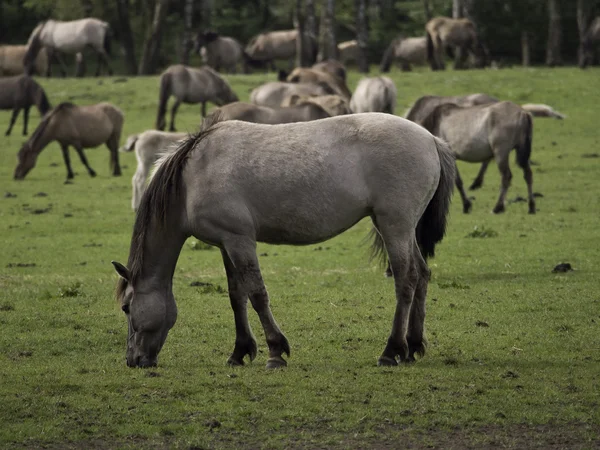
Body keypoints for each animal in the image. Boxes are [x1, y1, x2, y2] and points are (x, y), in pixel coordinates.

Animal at [111, 111, 454, 370]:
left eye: (127, 307)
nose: (133, 360)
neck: (192, 177)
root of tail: (431, 140)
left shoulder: (240, 241)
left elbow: (257, 294)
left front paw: (275, 351)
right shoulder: (225, 243)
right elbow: (236, 296)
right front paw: (240, 352)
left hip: (394, 226)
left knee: (406, 280)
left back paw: (391, 350)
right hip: (402, 229)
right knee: (422, 275)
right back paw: (412, 346)